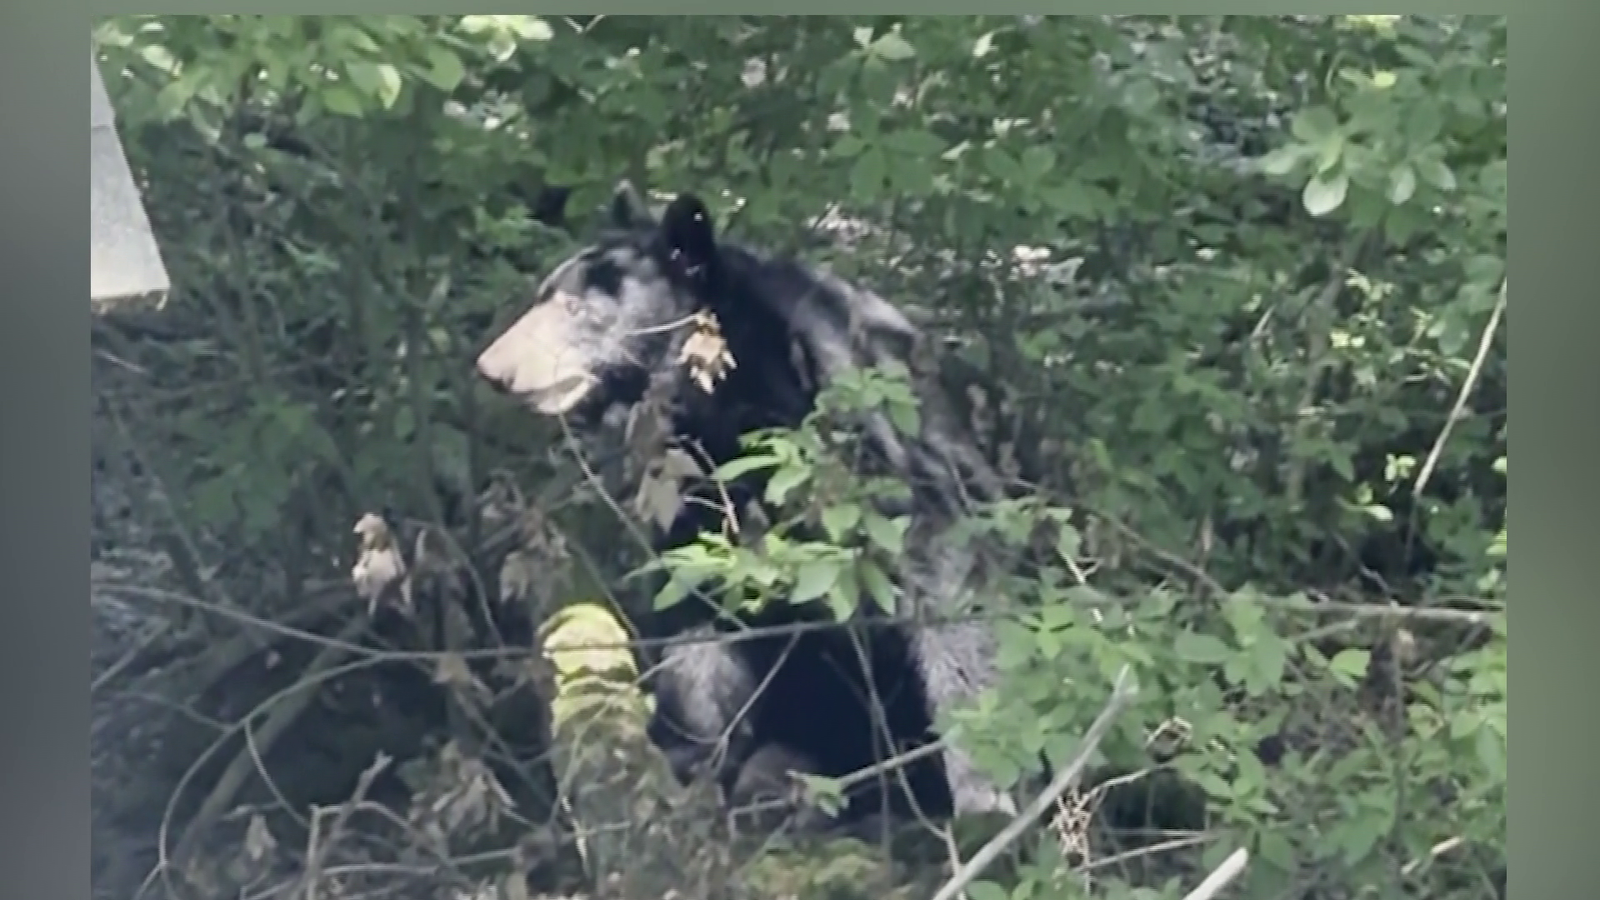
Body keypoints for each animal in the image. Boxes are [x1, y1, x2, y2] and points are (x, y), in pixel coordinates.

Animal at [474, 182, 1022, 827]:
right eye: (544, 295)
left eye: (577, 308)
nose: (492, 367)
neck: (735, 412)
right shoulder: (695, 499)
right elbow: (699, 626)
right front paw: (699, 760)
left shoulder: (885, 458)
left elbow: (951, 595)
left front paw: (985, 796)